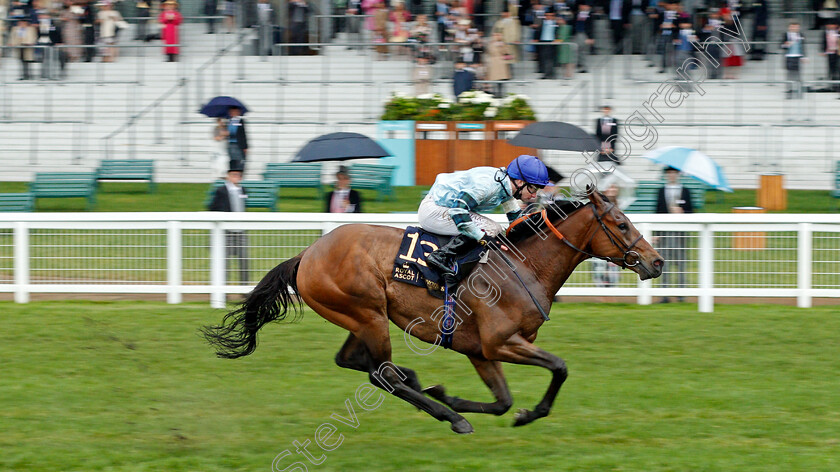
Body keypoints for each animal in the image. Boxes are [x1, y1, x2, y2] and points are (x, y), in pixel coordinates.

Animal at [202, 188, 664, 436]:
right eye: (621, 224)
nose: (656, 262)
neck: (525, 266)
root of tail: (307, 253)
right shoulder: (501, 342)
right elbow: (559, 367)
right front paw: (523, 414)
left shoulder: (480, 350)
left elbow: (501, 401)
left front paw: (453, 395)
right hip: (368, 313)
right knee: (380, 374)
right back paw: (447, 415)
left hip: (359, 316)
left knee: (352, 361)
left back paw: (424, 387)